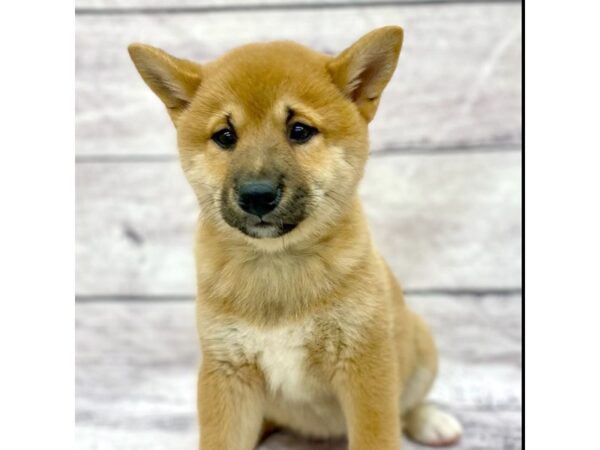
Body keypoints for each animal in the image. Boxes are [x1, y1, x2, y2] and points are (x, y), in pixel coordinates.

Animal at [129, 27, 462, 450]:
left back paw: (430, 420)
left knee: (408, 404)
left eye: (300, 131)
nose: (256, 195)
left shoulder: (366, 366)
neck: (277, 265)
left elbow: (380, 433)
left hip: (419, 344)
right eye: (225, 136)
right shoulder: (227, 371)